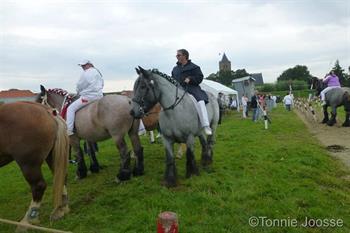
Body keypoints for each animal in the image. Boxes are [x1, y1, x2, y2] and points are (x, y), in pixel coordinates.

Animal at [0, 101, 69, 229]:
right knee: (61, 176)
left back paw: (27, 222)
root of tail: (48, 111)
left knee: (38, 186)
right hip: (52, 157)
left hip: (28, 165)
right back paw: (61, 210)